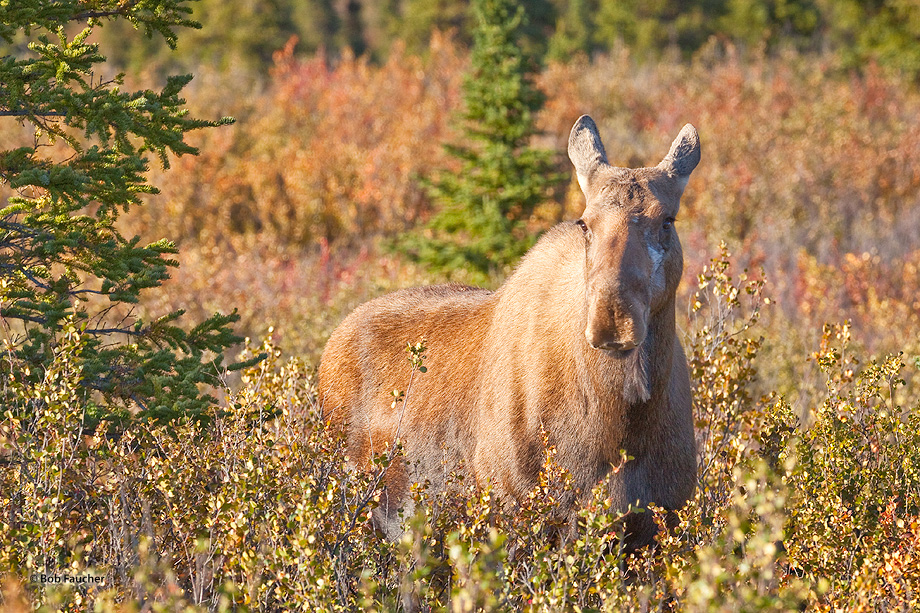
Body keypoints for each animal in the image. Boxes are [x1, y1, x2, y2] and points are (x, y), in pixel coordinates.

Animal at [316, 113, 696, 568]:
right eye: (585, 222)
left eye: (667, 220)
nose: (612, 319)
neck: (624, 423)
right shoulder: (517, 517)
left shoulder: (658, 525)